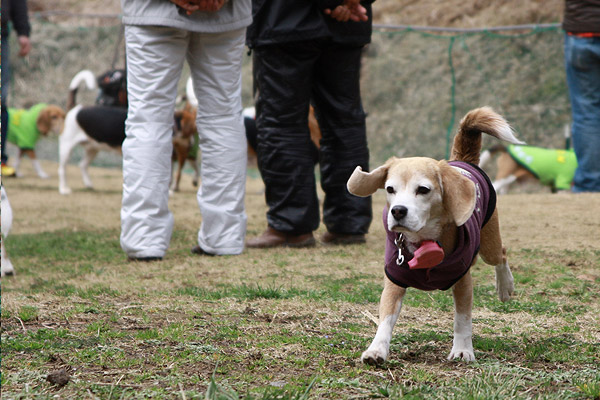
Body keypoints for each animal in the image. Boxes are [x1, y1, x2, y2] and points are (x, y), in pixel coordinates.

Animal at [350, 108, 524, 364]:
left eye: (423, 190)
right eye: (390, 189)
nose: (398, 211)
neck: (424, 238)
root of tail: (461, 160)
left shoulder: (463, 281)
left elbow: (462, 319)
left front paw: (462, 350)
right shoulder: (394, 280)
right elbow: (385, 319)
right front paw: (376, 350)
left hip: (489, 244)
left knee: (500, 255)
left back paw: (505, 286)